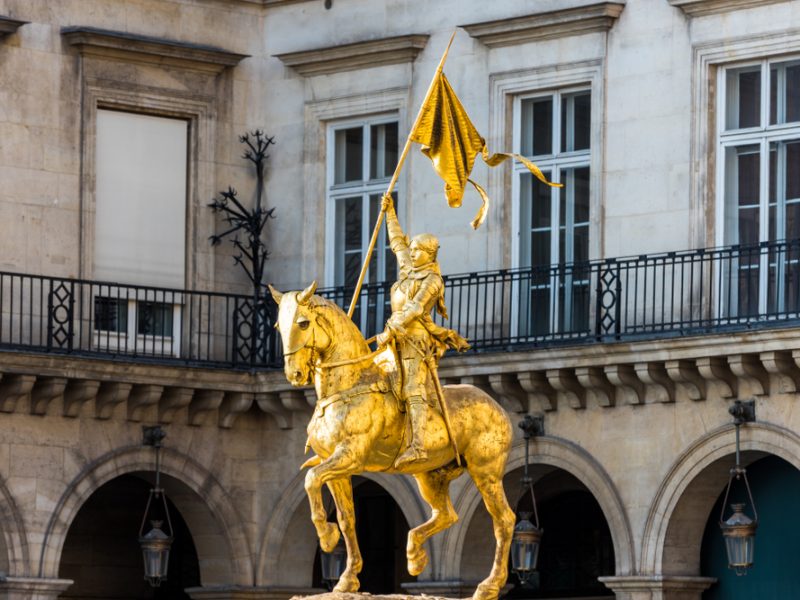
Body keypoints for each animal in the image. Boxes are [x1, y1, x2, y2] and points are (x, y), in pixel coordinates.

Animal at [272, 282, 516, 600]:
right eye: (279, 325)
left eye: (303, 323)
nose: (295, 374)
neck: (349, 383)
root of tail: (498, 406)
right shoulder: (337, 468)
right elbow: (347, 518)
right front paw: (347, 578)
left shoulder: (349, 456)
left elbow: (311, 478)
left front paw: (326, 537)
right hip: (429, 476)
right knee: (447, 515)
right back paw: (415, 556)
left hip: (485, 472)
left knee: (503, 521)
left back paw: (488, 585)